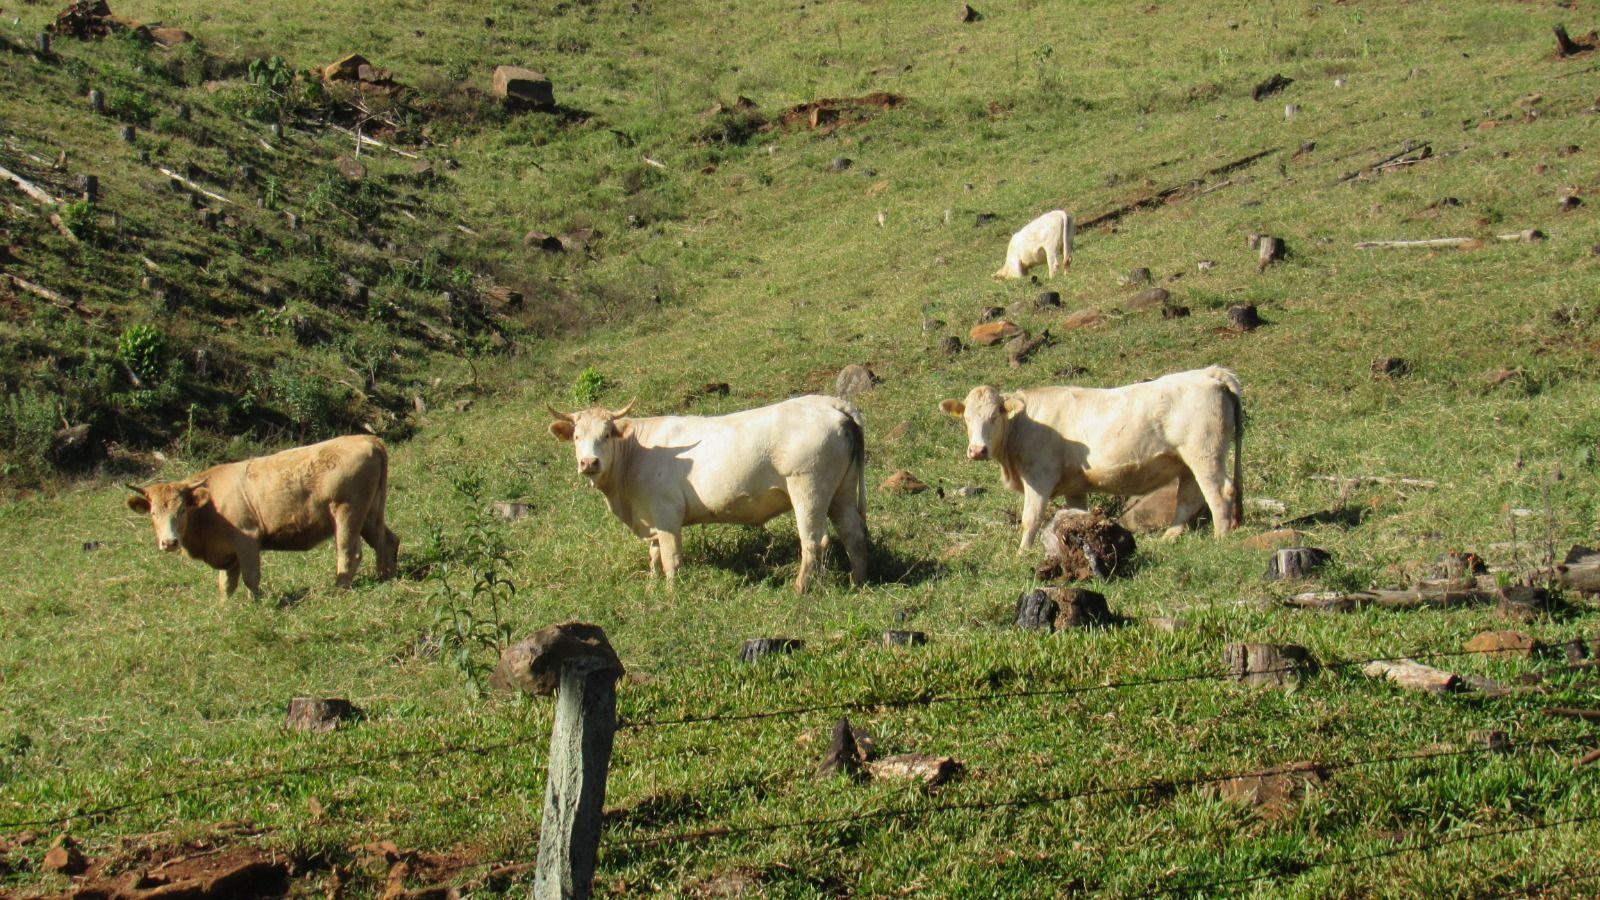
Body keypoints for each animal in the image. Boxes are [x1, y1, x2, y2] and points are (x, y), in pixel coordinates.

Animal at [124, 432, 396, 595]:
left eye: (182, 510)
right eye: (153, 513)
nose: (169, 542)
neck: (210, 505)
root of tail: (366, 439)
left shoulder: (247, 539)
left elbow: (251, 578)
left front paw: (256, 605)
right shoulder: (227, 552)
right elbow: (226, 585)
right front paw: (225, 610)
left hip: (347, 513)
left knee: (350, 552)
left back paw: (338, 589)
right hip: (370, 514)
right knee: (387, 541)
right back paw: (386, 576)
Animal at [550, 392, 876, 589]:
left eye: (606, 434)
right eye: (577, 436)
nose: (589, 462)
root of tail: (828, 402)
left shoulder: (666, 513)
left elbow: (670, 556)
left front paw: (672, 593)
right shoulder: (650, 518)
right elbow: (654, 555)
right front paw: (653, 587)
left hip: (808, 488)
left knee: (815, 541)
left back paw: (799, 589)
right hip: (841, 492)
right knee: (853, 533)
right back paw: (858, 582)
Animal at [940, 361, 1241, 547]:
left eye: (994, 417)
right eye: (967, 418)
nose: (977, 450)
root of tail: (1209, 372)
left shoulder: (1039, 477)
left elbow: (1031, 519)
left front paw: (1022, 554)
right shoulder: (1075, 486)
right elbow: (1075, 516)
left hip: (1204, 453)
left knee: (1218, 492)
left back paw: (1220, 538)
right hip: (1186, 463)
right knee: (1189, 499)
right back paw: (1170, 537)